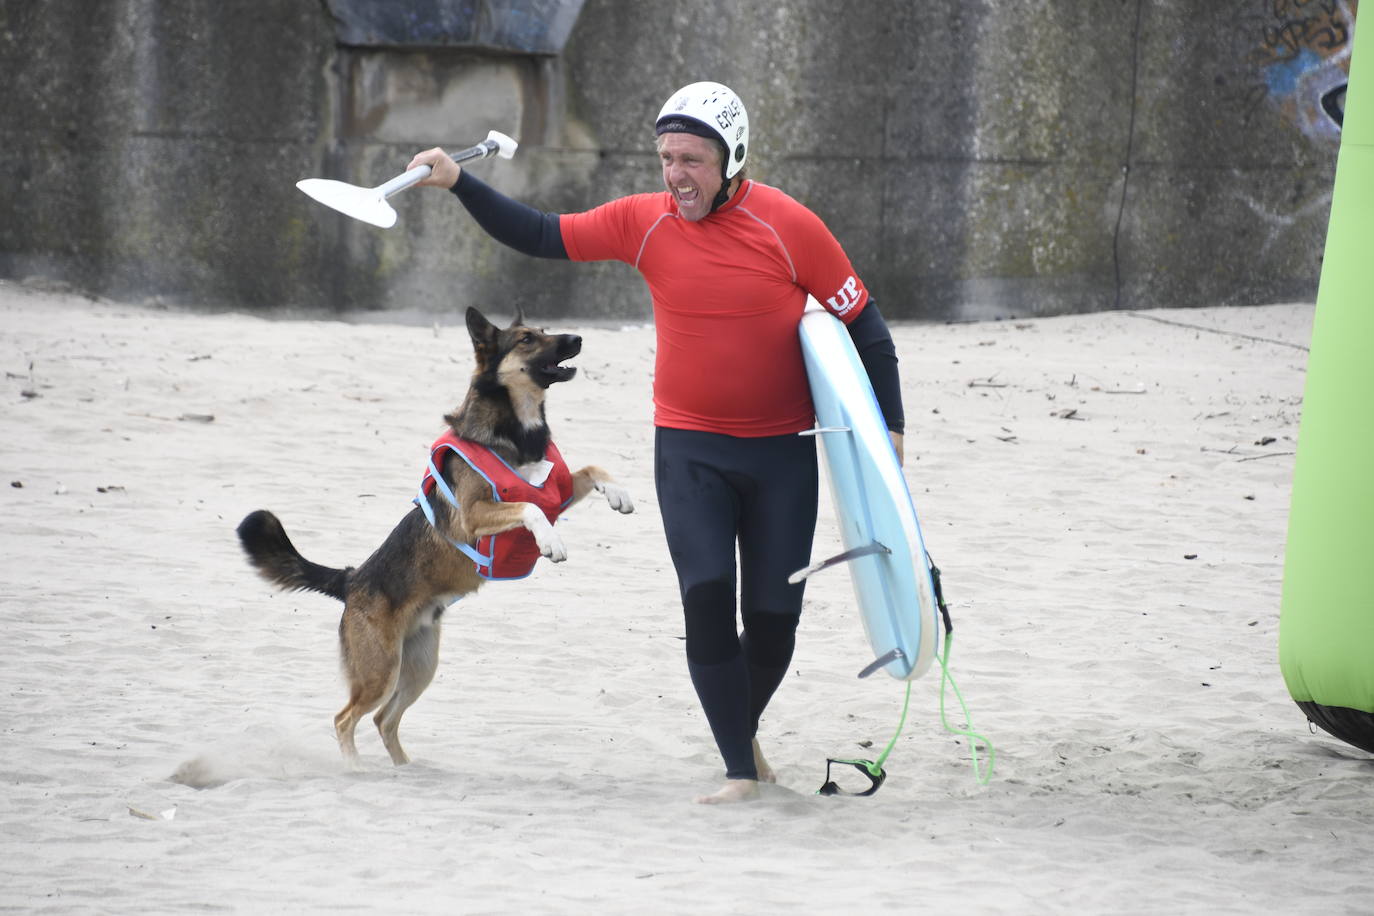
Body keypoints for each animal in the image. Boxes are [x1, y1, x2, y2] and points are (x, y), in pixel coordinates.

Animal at [239, 307, 634, 769]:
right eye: (526, 340)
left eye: (544, 330)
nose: (578, 338)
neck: (515, 428)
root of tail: (350, 580)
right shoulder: (474, 515)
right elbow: (529, 507)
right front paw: (551, 542)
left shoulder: (558, 490)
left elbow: (590, 470)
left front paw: (619, 493)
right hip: (380, 669)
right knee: (346, 718)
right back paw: (355, 768)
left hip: (418, 665)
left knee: (384, 720)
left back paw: (405, 771)